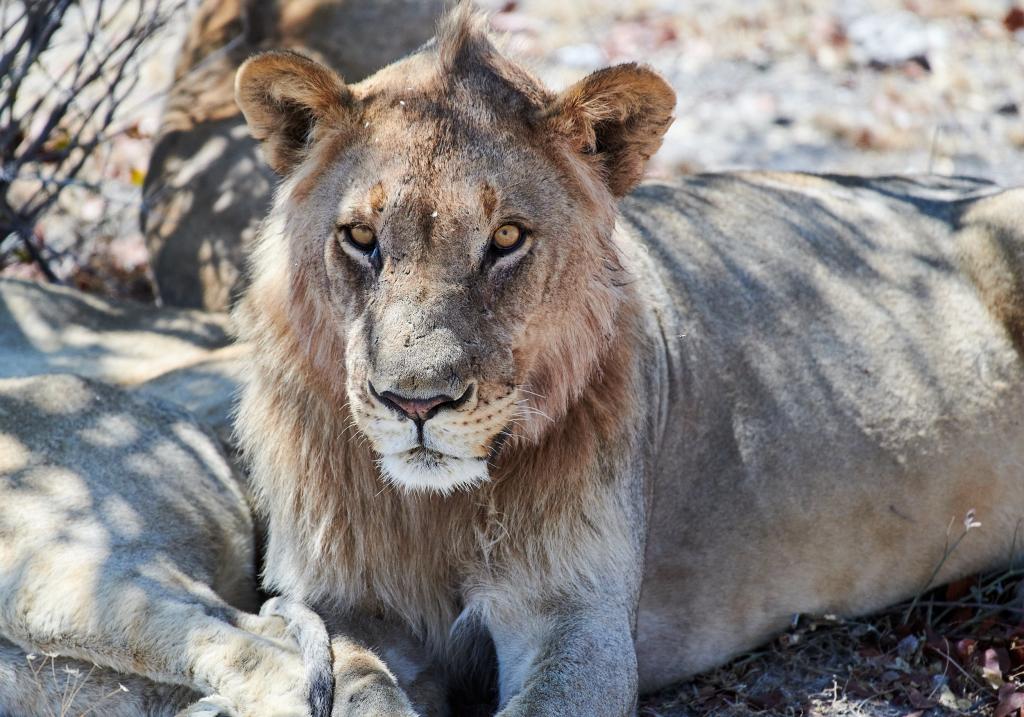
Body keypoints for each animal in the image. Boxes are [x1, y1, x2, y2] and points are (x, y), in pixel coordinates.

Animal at [230, 7, 1024, 717]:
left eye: (507, 237)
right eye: (361, 237)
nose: (417, 403)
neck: (438, 511)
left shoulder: (581, 618)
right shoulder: (344, 609)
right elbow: (365, 691)